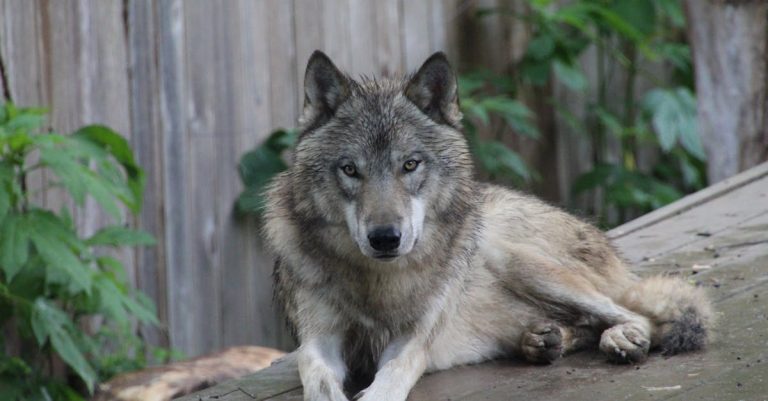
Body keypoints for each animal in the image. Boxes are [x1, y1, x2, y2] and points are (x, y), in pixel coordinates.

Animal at [263, 50, 713, 401]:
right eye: (350, 170)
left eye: (410, 164)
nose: (386, 238)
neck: (376, 283)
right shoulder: (319, 340)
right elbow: (314, 375)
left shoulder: (412, 341)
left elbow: (391, 377)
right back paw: (543, 340)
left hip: (513, 259)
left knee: (637, 316)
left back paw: (616, 338)